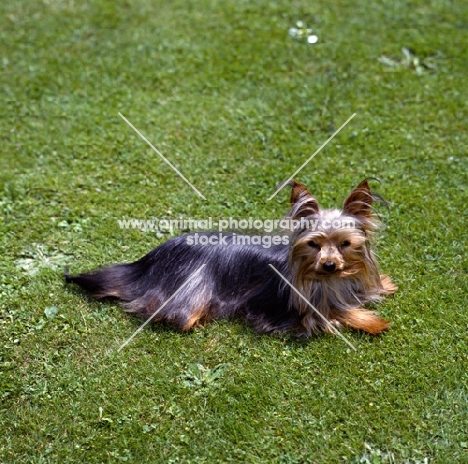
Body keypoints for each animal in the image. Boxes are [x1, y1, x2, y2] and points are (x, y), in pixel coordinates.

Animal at [65, 181, 394, 338]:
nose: (329, 265)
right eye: (313, 244)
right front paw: (373, 322)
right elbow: (332, 315)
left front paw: (384, 285)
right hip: (192, 288)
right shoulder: (288, 310)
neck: (326, 281)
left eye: (345, 244)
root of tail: (152, 258)